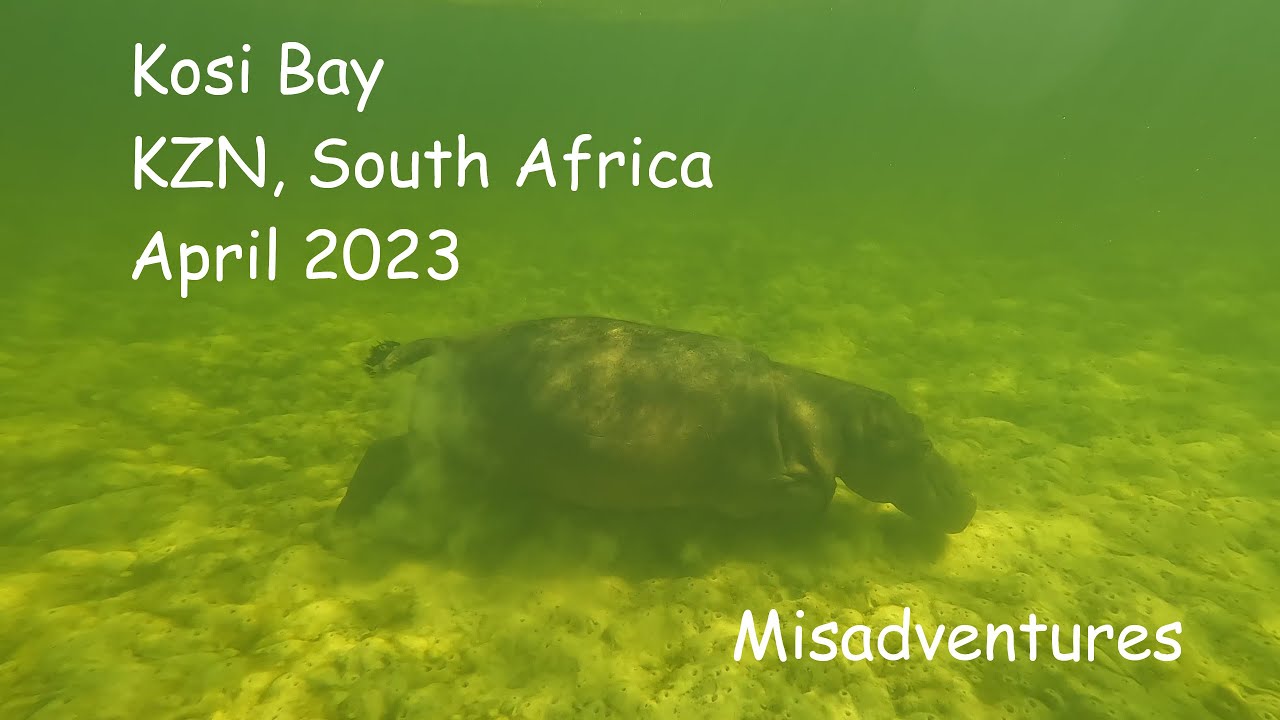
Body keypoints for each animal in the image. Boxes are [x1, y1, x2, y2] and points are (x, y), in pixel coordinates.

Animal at [333, 316, 977, 535]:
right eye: (921, 441)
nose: (969, 500)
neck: (834, 416)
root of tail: (454, 343)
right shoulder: (753, 482)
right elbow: (815, 493)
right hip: (452, 445)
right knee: (386, 456)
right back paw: (344, 525)